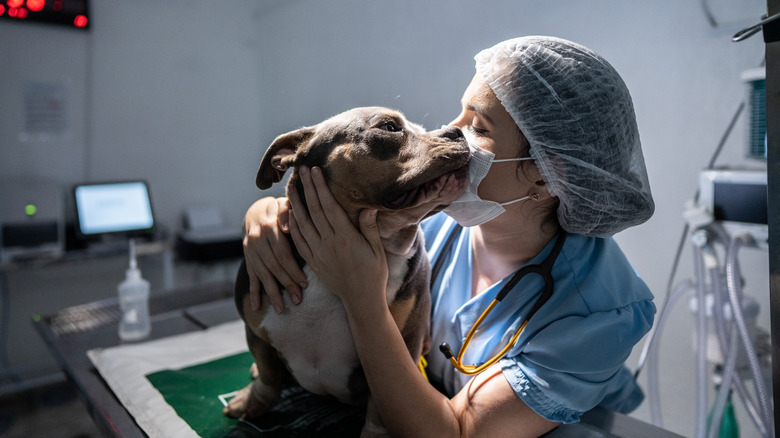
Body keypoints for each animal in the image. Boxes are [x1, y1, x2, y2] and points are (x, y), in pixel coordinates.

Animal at [224, 106, 470, 434]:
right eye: (390, 127)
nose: (457, 131)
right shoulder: (255, 329)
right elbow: (267, 372)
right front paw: (255, 400)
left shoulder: (401, 346)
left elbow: (380, 406)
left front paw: (375, 434)